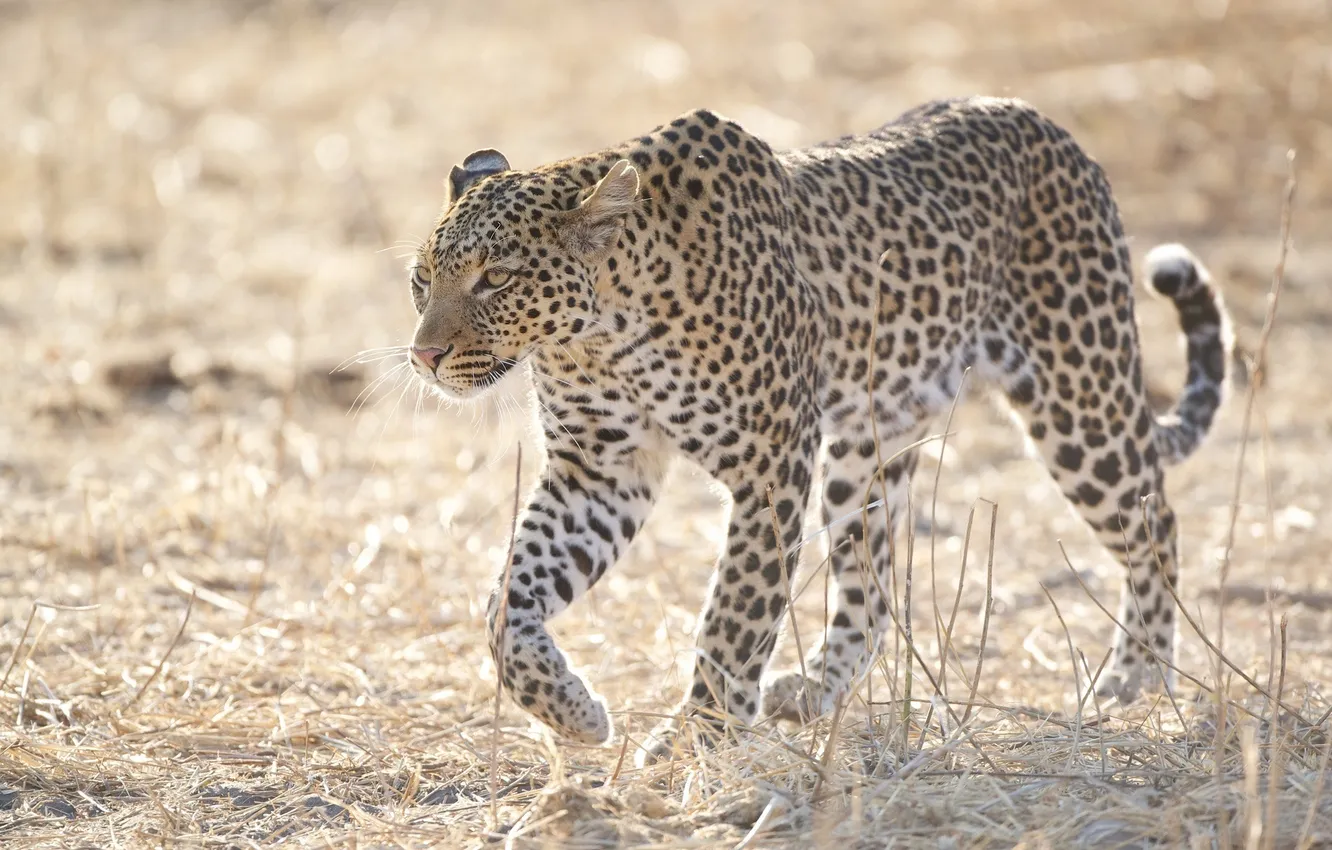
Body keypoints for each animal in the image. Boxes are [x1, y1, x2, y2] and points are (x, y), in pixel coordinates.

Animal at [403, 96, 1234, 766]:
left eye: (497, 278)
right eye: (422, 278)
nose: (423, 356)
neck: (601, 329)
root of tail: (1049, 126)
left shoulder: (769, 465)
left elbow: (735, 618)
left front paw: (694, 743)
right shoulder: (601, 471)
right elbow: (508, 602)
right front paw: (575, 713)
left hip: (1079, 396)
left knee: (1155, 520)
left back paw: (1135, 680)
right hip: (867, 449)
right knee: (873, 589)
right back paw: (812, 692)